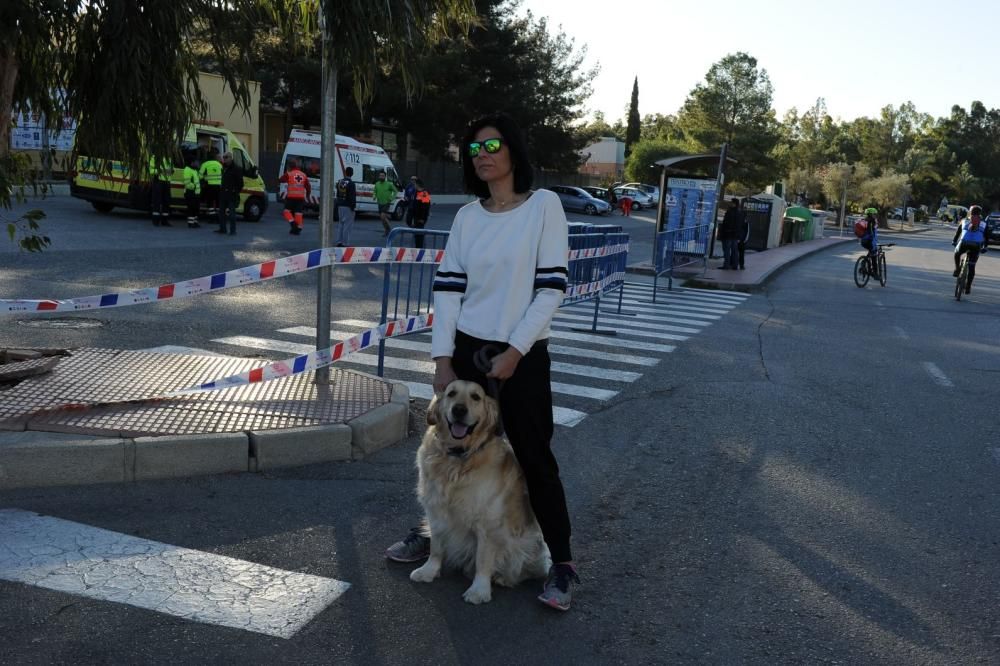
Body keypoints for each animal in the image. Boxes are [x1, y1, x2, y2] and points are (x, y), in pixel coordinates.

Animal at [408, 378, 556, 600]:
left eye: (476, 397)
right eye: (451, 393)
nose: (459, 410)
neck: (458, 457)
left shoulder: (488, 524)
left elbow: (483, 559)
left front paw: (479, 590)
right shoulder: (436, 511)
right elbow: (436, 546)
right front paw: (429, 571)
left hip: (525, 543)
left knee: (527, 569)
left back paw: (503, 578)